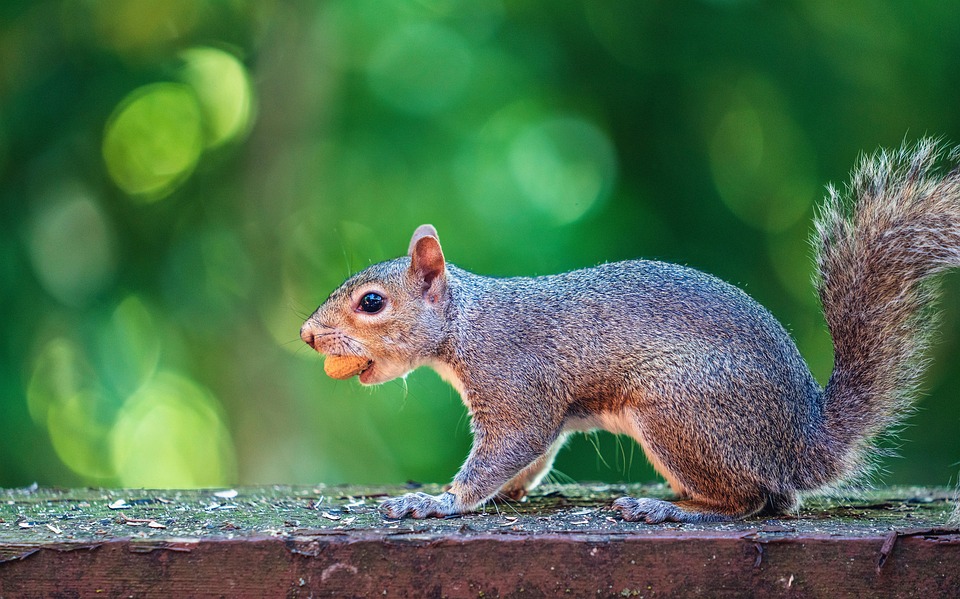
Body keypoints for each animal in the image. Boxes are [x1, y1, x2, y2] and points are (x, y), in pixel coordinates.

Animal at [300, 139, 960, 523]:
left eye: (372, 302)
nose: (307, 335)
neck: (466, 325)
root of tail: (803, 441)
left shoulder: (516, 386)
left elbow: (509, 448)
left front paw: (439, 501)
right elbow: (532, 459)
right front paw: (502, 492)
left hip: (680, 413)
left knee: (761, 500)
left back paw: (672, 509)